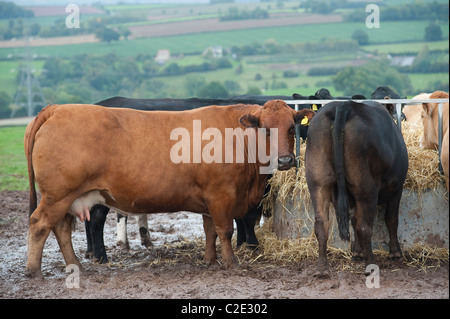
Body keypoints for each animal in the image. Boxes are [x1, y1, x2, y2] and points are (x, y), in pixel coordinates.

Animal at [23, 100, 312, 278]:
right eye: (265, 129)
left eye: (291, 128)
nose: (286, 160)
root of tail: (56, 109)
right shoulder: (221, 196)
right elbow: (225, 230)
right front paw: (231, 262)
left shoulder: (208, 200)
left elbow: (210, 231)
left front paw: (209, 260)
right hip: (58, 195)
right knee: (39, 224)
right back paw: (34, 271)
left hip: (67, 198)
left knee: (60, 229)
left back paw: (75, 265)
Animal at [306, 100, 408, 278]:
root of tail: (343, 105)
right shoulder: (396, 187)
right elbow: (391, 219)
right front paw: (395, 253)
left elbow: (353, 220)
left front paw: (357, 253)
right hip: (366, 188)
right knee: (364, 227)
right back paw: (371, 265)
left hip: (318, 184)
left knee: (322, 225)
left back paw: (322, 269)